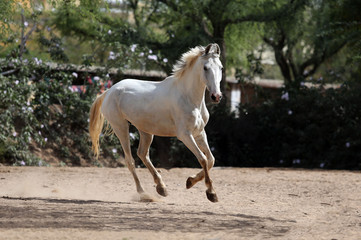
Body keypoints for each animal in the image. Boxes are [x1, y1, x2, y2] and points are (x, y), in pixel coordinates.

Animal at [88, 43, 222, 202]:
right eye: (205, 67)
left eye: (220, 67)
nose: (216, 96)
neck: (188, 97)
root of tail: (108, 91)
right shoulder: (185, 135)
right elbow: (203, 159)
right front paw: (211, 193)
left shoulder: (199, 133)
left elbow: (211, 159)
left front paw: (190, 181)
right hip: (120, 127)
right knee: (130, 160)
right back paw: (143, 193)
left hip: (145, 131)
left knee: (142, 154)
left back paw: (161, 187)